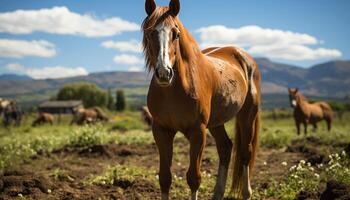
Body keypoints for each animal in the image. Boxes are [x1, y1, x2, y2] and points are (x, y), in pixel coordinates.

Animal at [142, 0, 260, 199]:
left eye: (176, 34)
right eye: (150, 32)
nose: (164, 73)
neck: (174, 90)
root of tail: (243, 56)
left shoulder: (198, 131)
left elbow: (194, 178)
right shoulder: (161, 130)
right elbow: (165, 178)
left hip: (247, 116)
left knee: (245, 152)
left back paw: (246, 193)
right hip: (216, 122)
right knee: (225, 148)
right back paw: (218, 193)